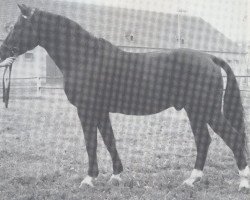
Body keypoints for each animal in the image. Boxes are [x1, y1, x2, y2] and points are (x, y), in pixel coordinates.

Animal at [0, 3, 249, 190]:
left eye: (17, 26)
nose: (2, 51)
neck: (85, 58)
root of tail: (209, 58)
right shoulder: (100, 110)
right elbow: (109, 140)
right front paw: (116, 175)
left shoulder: (86, 110)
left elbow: (91, 143)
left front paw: (89, 179)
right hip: (195, 111)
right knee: (204, 140)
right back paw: (191, 180)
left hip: (207, 109)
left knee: (233, 138)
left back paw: (243, 182)